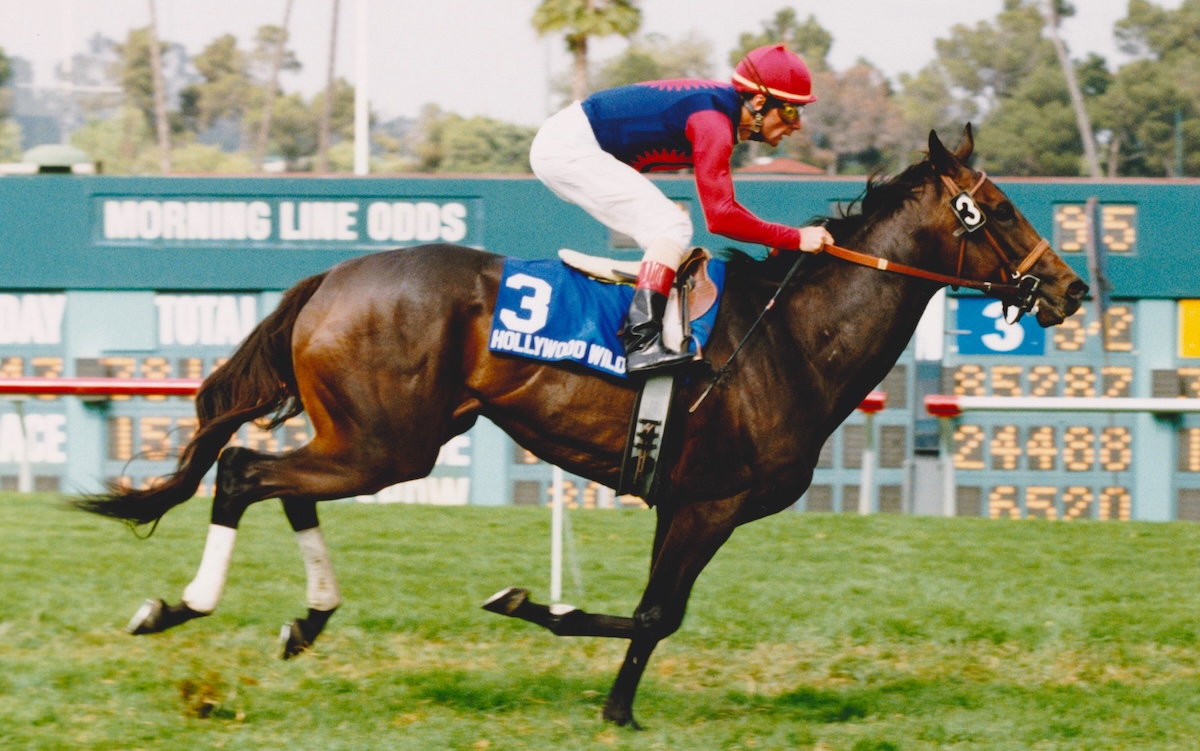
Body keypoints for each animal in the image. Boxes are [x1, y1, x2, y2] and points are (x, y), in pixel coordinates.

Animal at [75, 127, 1089, 724]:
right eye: (998, 209)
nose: (1073, 287)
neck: (791, 337)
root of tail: (333, 275)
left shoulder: (685, 500)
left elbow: (652, 613)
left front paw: (606, 693)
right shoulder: (710, 502)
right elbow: (655, 611)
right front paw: (560, 635)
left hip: (368, 441)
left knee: (277, 483)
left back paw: (308, 619)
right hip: (388, 444)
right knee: (246, 471)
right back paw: (179, 605)